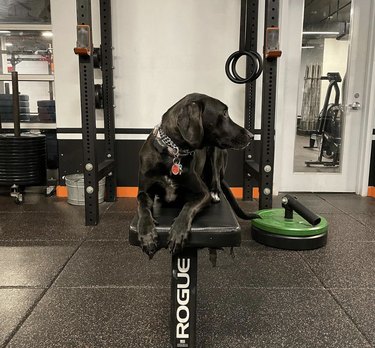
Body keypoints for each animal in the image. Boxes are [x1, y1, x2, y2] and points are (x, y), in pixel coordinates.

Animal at [137, 94, 258, 256]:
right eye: (224, 113)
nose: (252, 135)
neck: (173, 153)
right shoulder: (144, 191)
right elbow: (143, 206)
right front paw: (147, 235)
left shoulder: (202, 193)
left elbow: (188, 206)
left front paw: (178, 232)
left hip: (217, 152)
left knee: (216, 178)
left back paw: (215, 193)